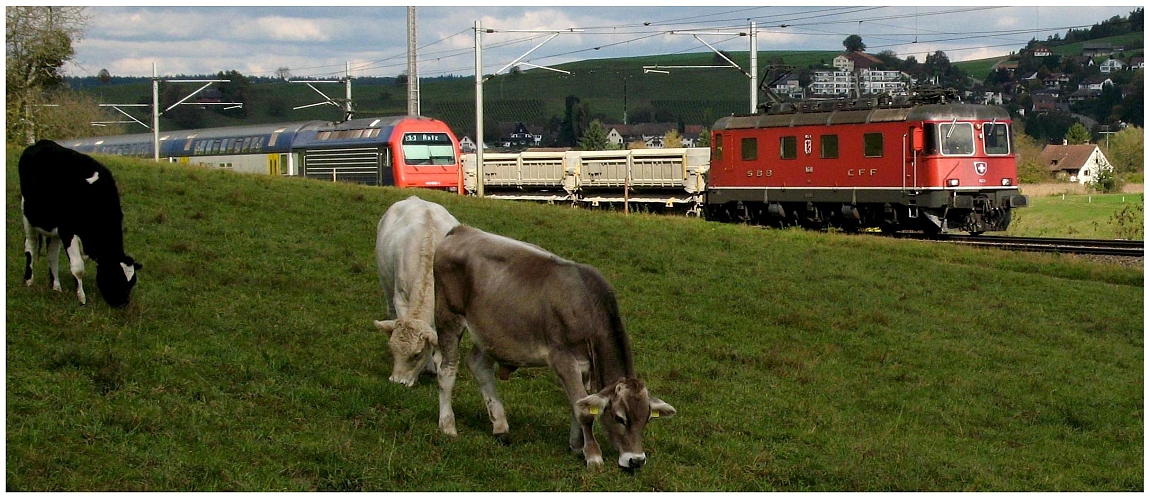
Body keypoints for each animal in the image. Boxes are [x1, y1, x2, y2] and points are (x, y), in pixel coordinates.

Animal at [18, 138, 141, 303]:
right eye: (116, 278)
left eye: (131, 282)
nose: (123, 303)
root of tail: (41, 143)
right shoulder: (68, 231)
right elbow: (77, 268)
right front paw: (81, 298)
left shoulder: (63, 230)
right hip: (27, 213)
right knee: (30, 246)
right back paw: (29, 281)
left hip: (53, 227)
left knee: (52, 254)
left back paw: (56, 287)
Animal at [434, 226, 676, 466]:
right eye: (620, 418)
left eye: (646, 419)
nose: (636, 460)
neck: (587, 305)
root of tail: (461, 230)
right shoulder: (563, 359)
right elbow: (584, 411)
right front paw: (593, 455)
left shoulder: (585, 366)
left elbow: (578, 403)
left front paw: (577, 446)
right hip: (449, 317)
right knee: (447, 370)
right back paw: (448, 425)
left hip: (491, 334)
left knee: (478, 366)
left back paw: (500, 426)